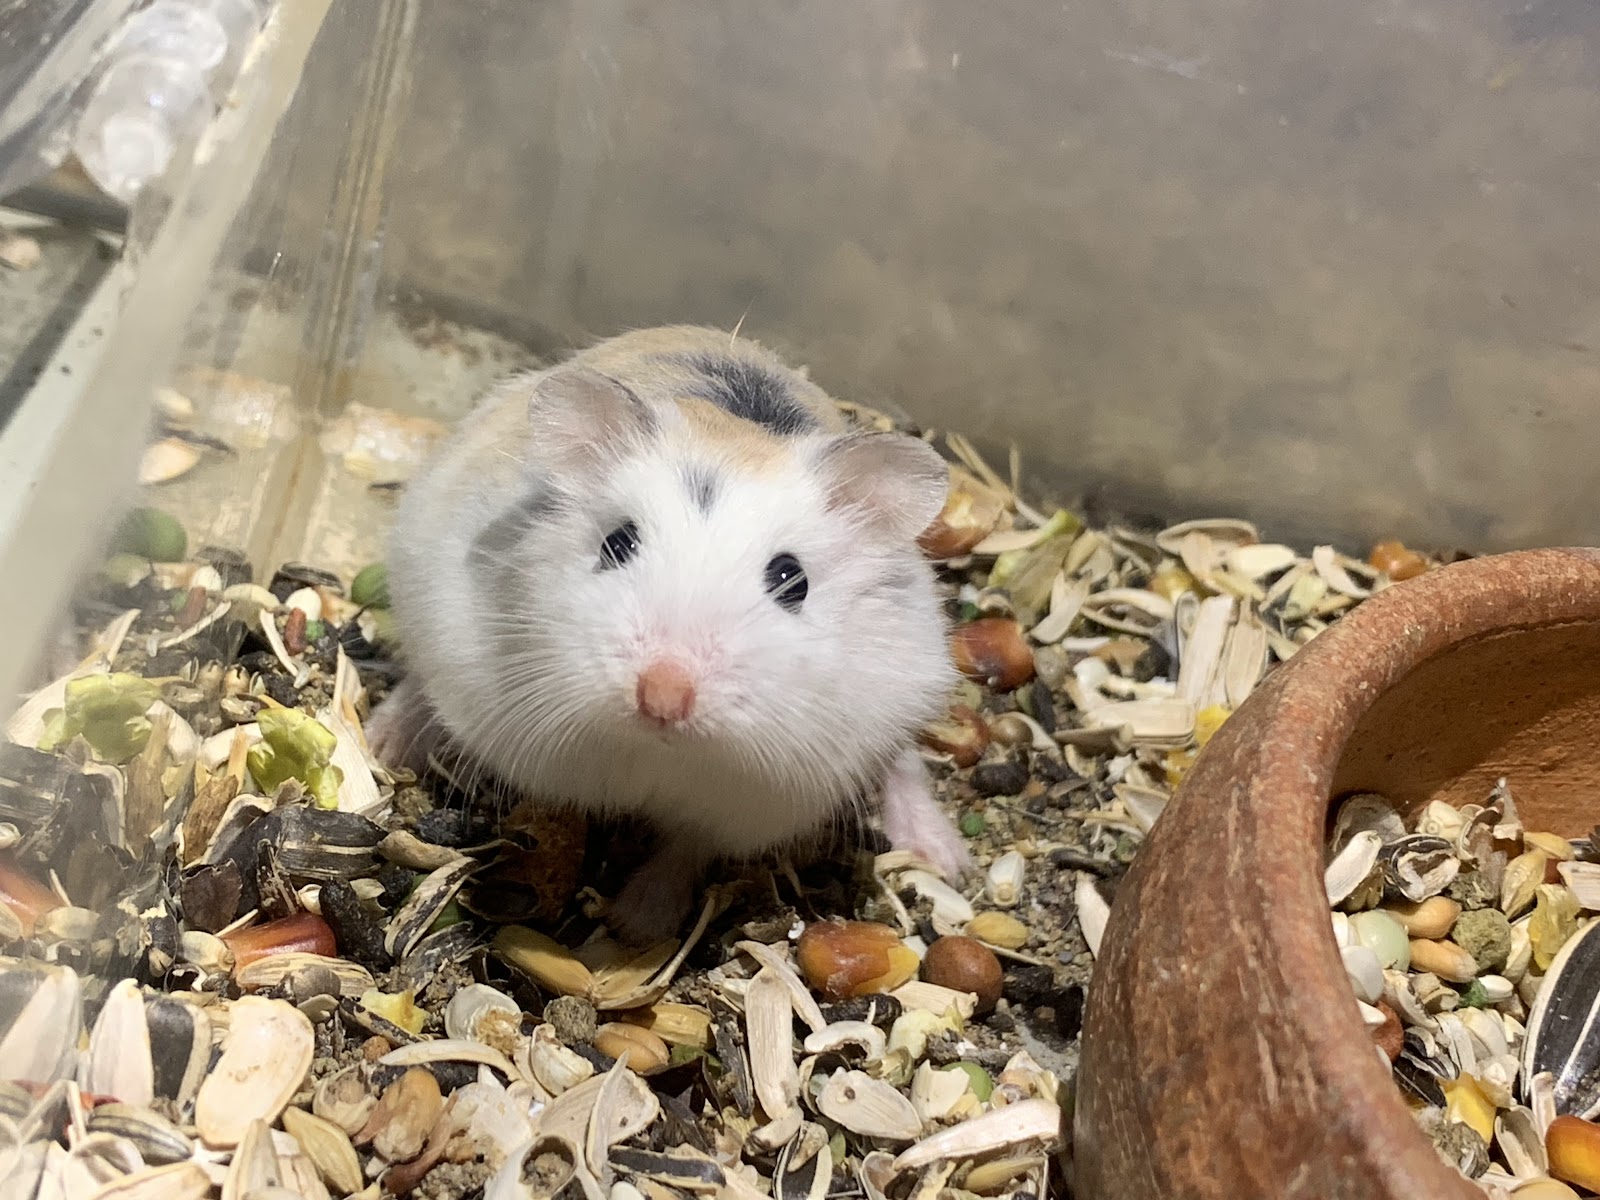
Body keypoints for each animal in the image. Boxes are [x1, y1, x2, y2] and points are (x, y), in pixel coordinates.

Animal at [368, 325, 970, 944]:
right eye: (617, 543)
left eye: (793, 580)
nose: (662, 697)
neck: (658, 750)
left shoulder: (751, 806)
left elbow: (685, 850)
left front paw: (636, 924)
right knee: (420, 685)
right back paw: (380, 743)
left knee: (902, 763)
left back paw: (945, 858)